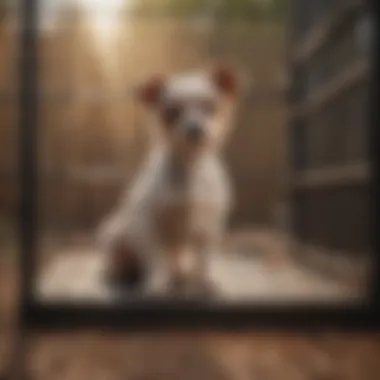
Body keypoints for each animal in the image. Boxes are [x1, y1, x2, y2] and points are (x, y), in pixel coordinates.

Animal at [98, 65, 240, 296]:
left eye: (210, 107)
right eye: (172, 113)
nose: (194, 129)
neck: (189, 169)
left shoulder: (208, 229)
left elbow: (203, 261)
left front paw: (203, 283)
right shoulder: (150, 226)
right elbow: (156, 260)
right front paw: (156, 286)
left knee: (174, 261)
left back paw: (178, 274)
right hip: (112, 235)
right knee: (123, 260)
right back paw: (119, 273)